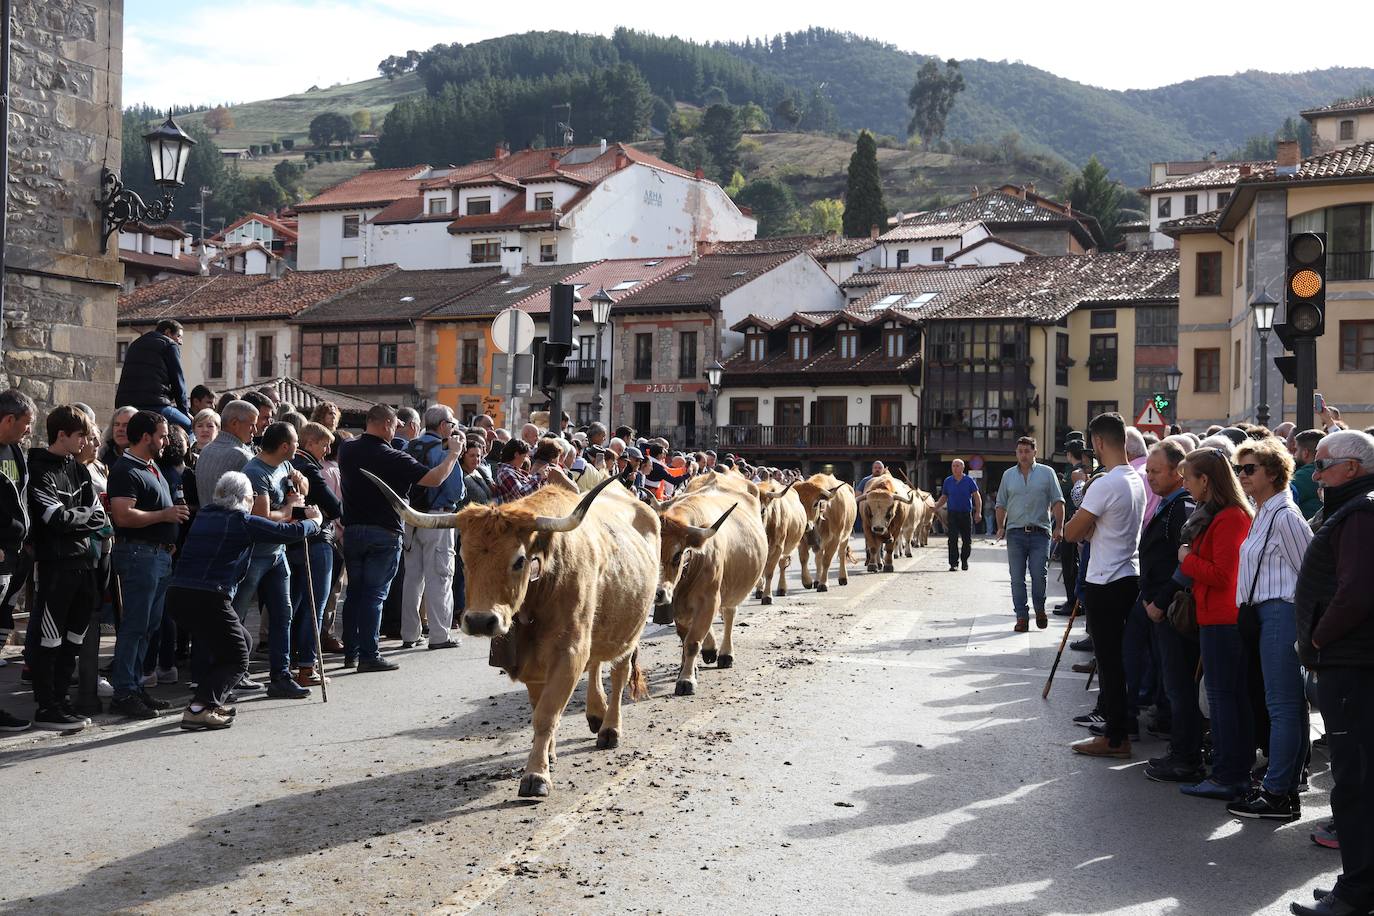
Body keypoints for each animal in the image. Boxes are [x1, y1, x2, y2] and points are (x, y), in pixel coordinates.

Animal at [365, 469, 659, 796]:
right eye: (463, 558)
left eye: (519, 560)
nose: (480, 621)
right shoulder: (533, 662)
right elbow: (539, 708)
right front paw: (548, 754)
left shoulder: (569, 652)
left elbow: (546, 715)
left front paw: (536, 775)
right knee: (596, 663)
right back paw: (595, 713)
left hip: (630, 631)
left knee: (619, 675)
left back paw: (609, 728)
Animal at [651, 472, 769, 694]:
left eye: (677, 555)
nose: (657, 592)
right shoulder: (679, 608)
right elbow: (686, 638)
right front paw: (689, 669)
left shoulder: (709, 599)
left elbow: (692, 642)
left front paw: (686, 679)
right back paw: (710, 650)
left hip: (732, 590)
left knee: (729, 615)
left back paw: (725, 654)